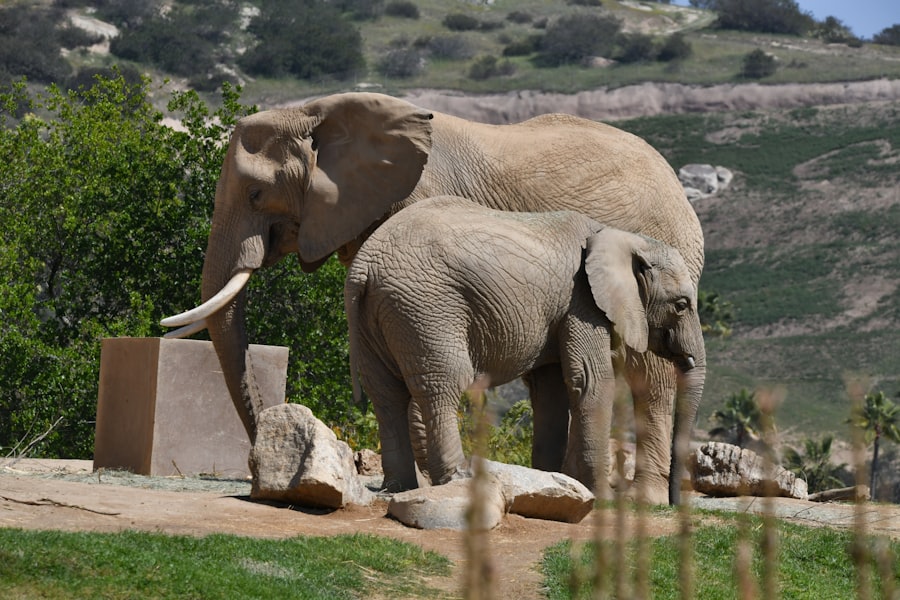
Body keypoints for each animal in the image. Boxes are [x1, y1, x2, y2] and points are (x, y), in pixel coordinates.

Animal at [344, 196, 703, 495]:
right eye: (681, 304)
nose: (673, 502)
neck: (623, 237)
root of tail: (364, 267)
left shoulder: (565, 309)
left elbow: (552, 389)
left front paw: (557, 481)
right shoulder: (582, 302)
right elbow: (591, 380)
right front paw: (598, 494)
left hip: (376, 317)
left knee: (385, 394)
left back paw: (400, 487)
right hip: (426, 309)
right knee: (441, 385)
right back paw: (456, 479)